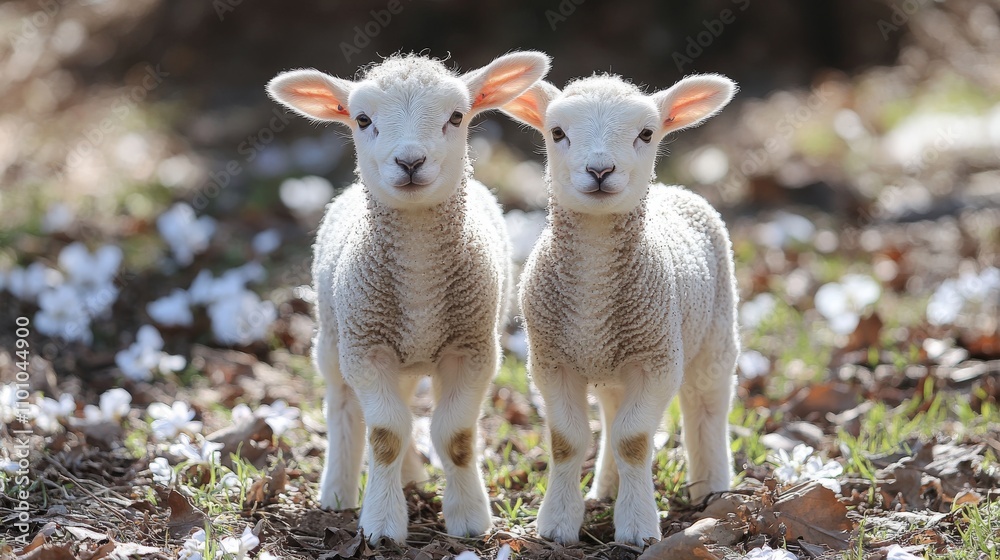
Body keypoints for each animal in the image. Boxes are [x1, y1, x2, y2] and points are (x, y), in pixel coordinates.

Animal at [266, 51, 550, 543]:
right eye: (362, 119)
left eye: (456, 116)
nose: (411, 161)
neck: (419, 280)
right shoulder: (366, 349)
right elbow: (386, 436)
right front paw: (381, 524)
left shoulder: (473, 349)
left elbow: (454, 436)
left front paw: (469, 518)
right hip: (335, 339)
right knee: (344, 408)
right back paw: (338, 492)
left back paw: (410, 478)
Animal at [501, 74, 739, 545]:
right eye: (557, 132)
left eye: (646, 133)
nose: (599, 171)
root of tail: (673, 189)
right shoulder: (551, 360)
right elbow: (568, 441)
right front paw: (558, 524)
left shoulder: (657, 360)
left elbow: (635, 441)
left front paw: (637, 529)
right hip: (612, 364)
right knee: (612, 417)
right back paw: (605, 489)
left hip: (716, 333)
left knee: (707, 405)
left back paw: (712, 490)